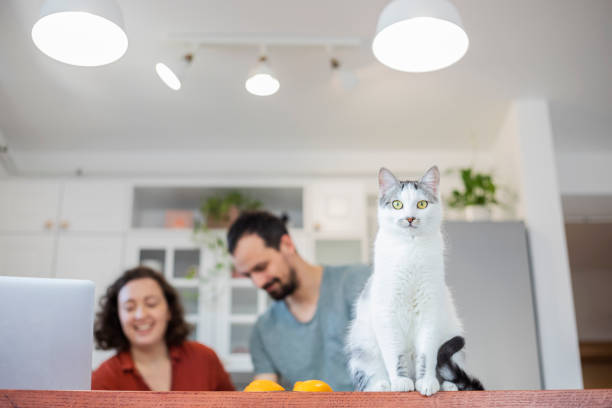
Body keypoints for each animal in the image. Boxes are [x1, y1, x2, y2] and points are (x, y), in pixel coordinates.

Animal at [346, 166, 480, 396]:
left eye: (422, 204)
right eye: (397, 204)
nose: (410, 218)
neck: (411, 249)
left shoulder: (429, 312)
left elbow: (427, 355)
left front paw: (426, 383)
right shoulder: (387, 313)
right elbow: (395, 355)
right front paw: (400, 382)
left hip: (454, 340)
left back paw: (448, 386)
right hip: (361, 347)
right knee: (368, 378)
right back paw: (381, 386)